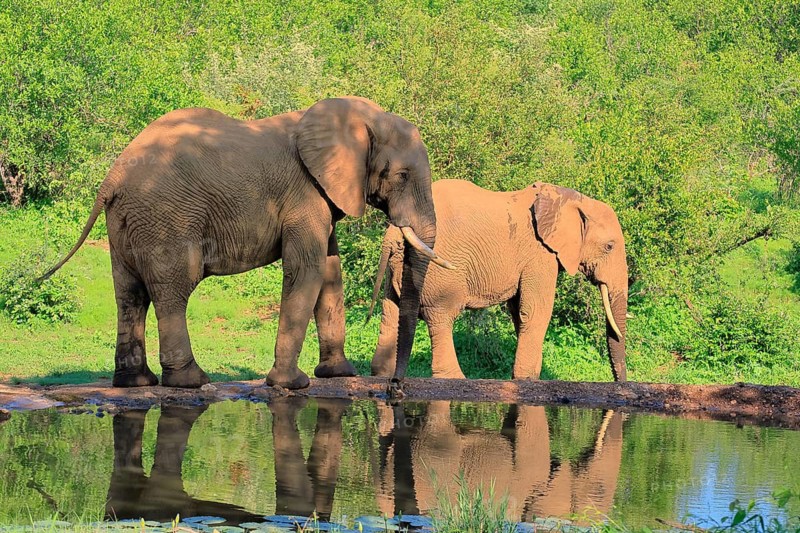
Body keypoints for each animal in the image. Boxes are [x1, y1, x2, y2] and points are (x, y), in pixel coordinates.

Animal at [40, 96, 452, 390]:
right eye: (401, 175)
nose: (395, 388)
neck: (357, 118)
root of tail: (112, 176)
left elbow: (331, 273)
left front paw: (338, 375)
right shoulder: (303, 194)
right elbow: (306, 270)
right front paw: (293, 385)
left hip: (125, 223)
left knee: (129, 294)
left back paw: (135, 383)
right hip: (166, 217)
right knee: (173, 289)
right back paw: (190, 381)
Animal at [370, 179, 628, 381]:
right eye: (609, 246)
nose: (620, 383)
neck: (571, 199)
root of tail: (394, 232)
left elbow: (519, 312)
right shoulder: (540, 254)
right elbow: (536, 311)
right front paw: (526, 378)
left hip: (397, 267)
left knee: (392, 310)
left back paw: (381, 375)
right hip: (438, 268)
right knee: (441, 315)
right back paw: (455, 377)